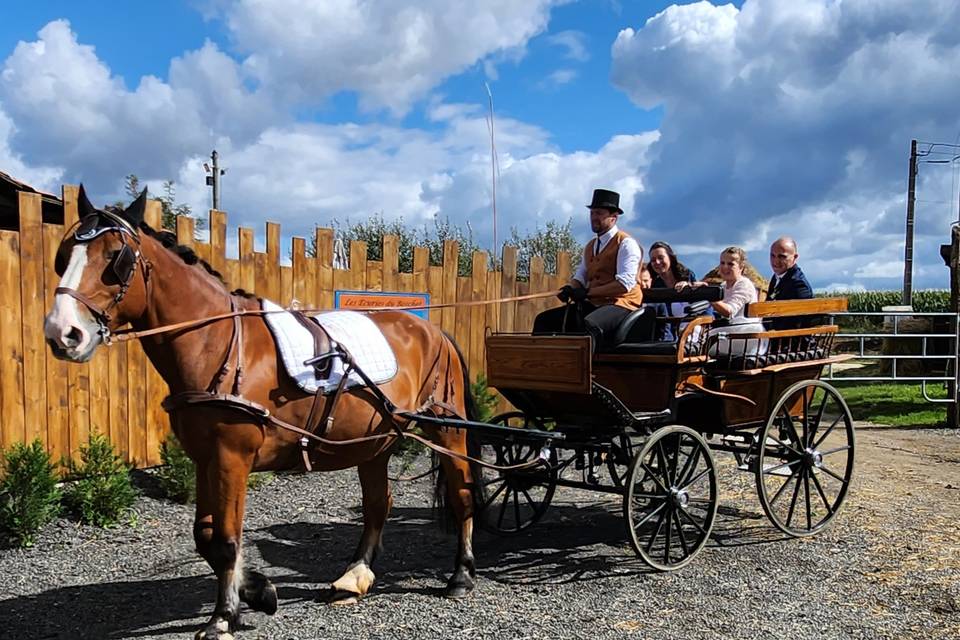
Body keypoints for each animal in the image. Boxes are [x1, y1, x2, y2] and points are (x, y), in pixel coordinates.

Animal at [43, 189, 478, 640]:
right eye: (63, 255)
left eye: (116, 258)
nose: (62, 333)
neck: (218, 343)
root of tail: (434, 332)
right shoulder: (205, 458)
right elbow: (205, 536)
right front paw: (255, 589)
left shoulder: (232, 457)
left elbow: (226, 539)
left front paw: (223, 617)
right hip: (373, 442)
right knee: (379, 503)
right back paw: (355, 576)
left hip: (448, 432)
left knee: (462, 495)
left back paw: (461, 575)